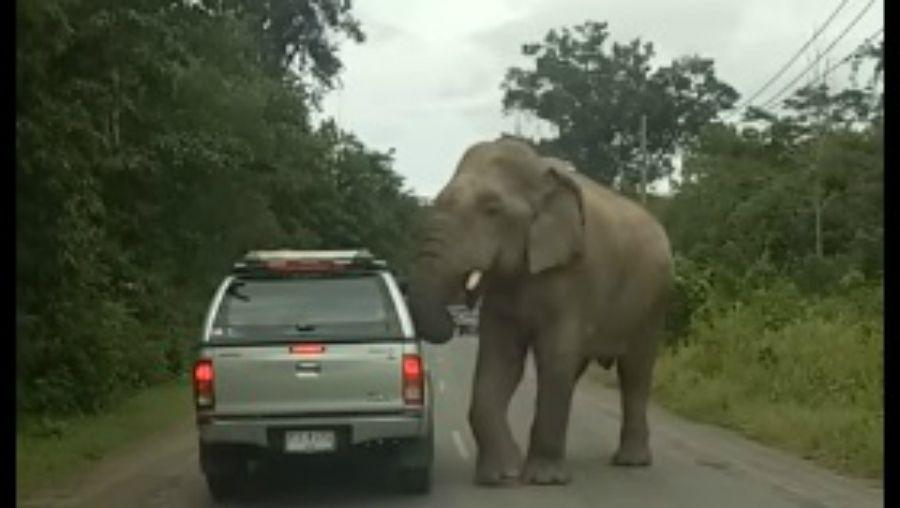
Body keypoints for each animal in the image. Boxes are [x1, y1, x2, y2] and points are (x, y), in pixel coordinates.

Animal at [407, 137, 673, 486]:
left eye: (492, 210)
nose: (461, 314)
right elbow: (501, 360)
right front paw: (500, 475)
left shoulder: (574, 277)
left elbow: (554, 355)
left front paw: (544, 479)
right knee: (576, 371)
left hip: (653, 303)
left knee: (635, 371)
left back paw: (631, 461)